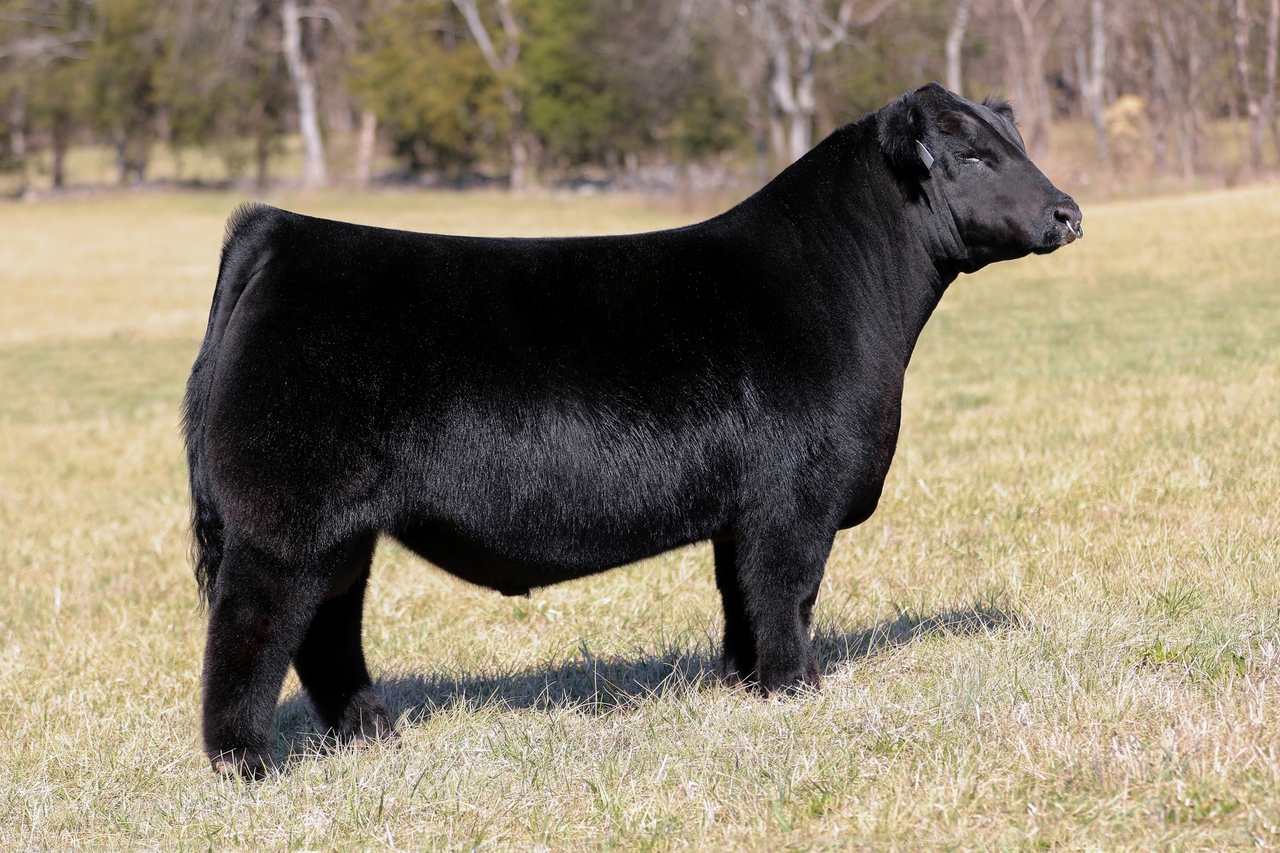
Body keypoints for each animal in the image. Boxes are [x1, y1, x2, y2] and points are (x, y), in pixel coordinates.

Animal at [184, 83, 1082, 778]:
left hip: (342, 532)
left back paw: (373, 734)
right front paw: (797, 689)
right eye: (970, 157)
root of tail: (283, 231)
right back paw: (247, 762)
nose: (1067, 210)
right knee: (251, 628)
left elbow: (741, 598)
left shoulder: (743, 512)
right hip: (285, 521)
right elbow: (788, 594)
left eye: (1013, 142)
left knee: (328, 629)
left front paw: (745, 685)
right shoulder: (795, 501)